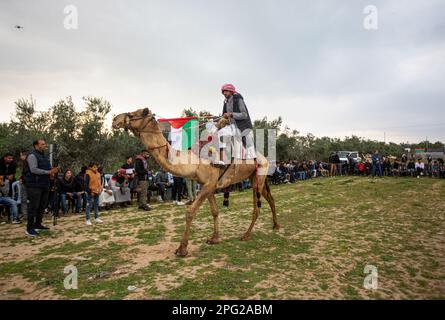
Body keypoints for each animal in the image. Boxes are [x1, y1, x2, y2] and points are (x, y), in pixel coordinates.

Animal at [112, 108, 280, 258]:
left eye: (135, 113)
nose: (115, 119)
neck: (194, 160)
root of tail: (264, 158)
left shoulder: (209, 184)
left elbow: (190, 212)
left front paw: (182, 249)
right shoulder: (209, 185)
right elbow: (215, 211)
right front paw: (214, 238)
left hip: (258, 176)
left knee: (257, 208)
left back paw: (246, 234)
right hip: (256, 178)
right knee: (270, 199)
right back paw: (276, 225)